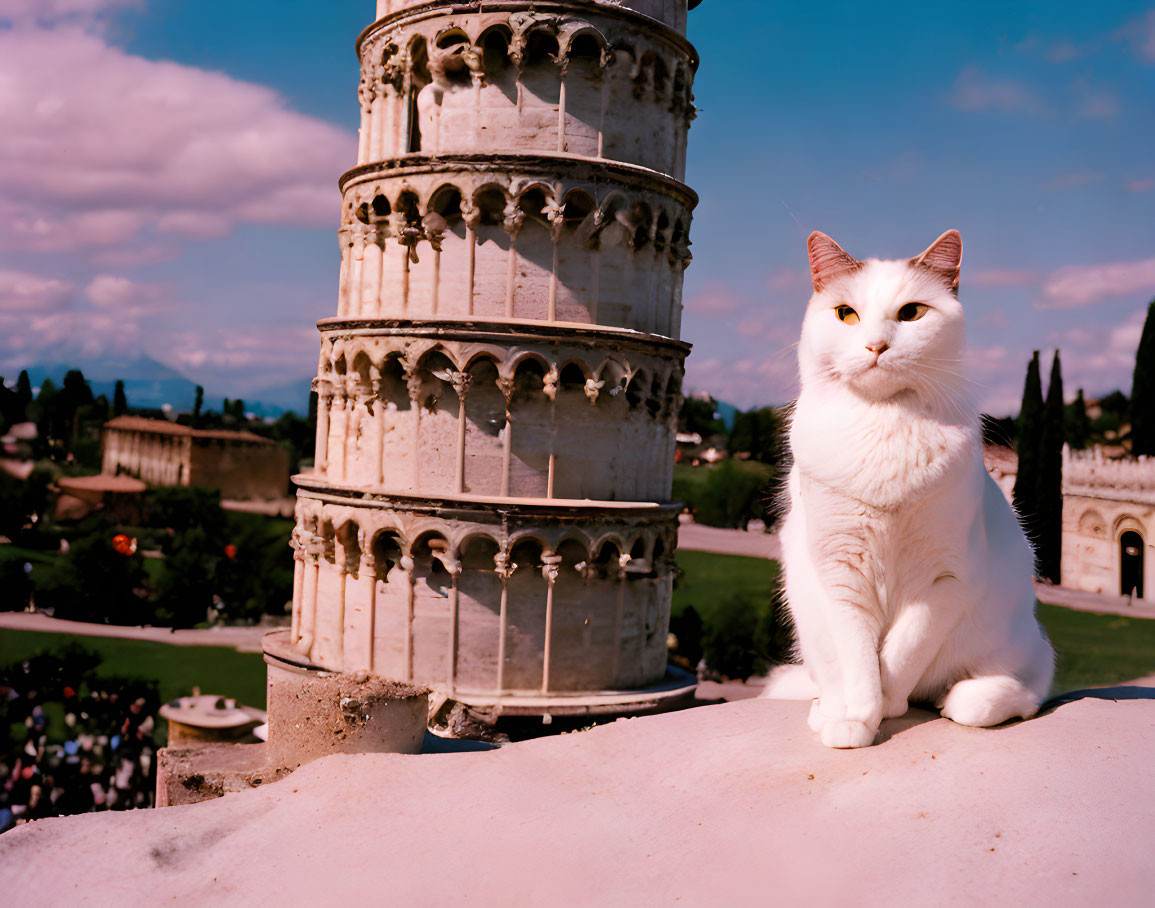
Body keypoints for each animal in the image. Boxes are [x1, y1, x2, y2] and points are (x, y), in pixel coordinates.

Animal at [766, 229, 1057, 748]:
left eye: (912, 312)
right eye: (846, 313)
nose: (876, 346)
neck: (885, 422)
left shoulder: (946, 580)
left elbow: (899, 657)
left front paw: (883, 709)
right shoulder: (840, 571)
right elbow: (862, 662)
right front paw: (855, 721)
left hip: (1024, 649)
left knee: (1009, 695)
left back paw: (957, 697)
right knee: (830, 677)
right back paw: (828, 709)